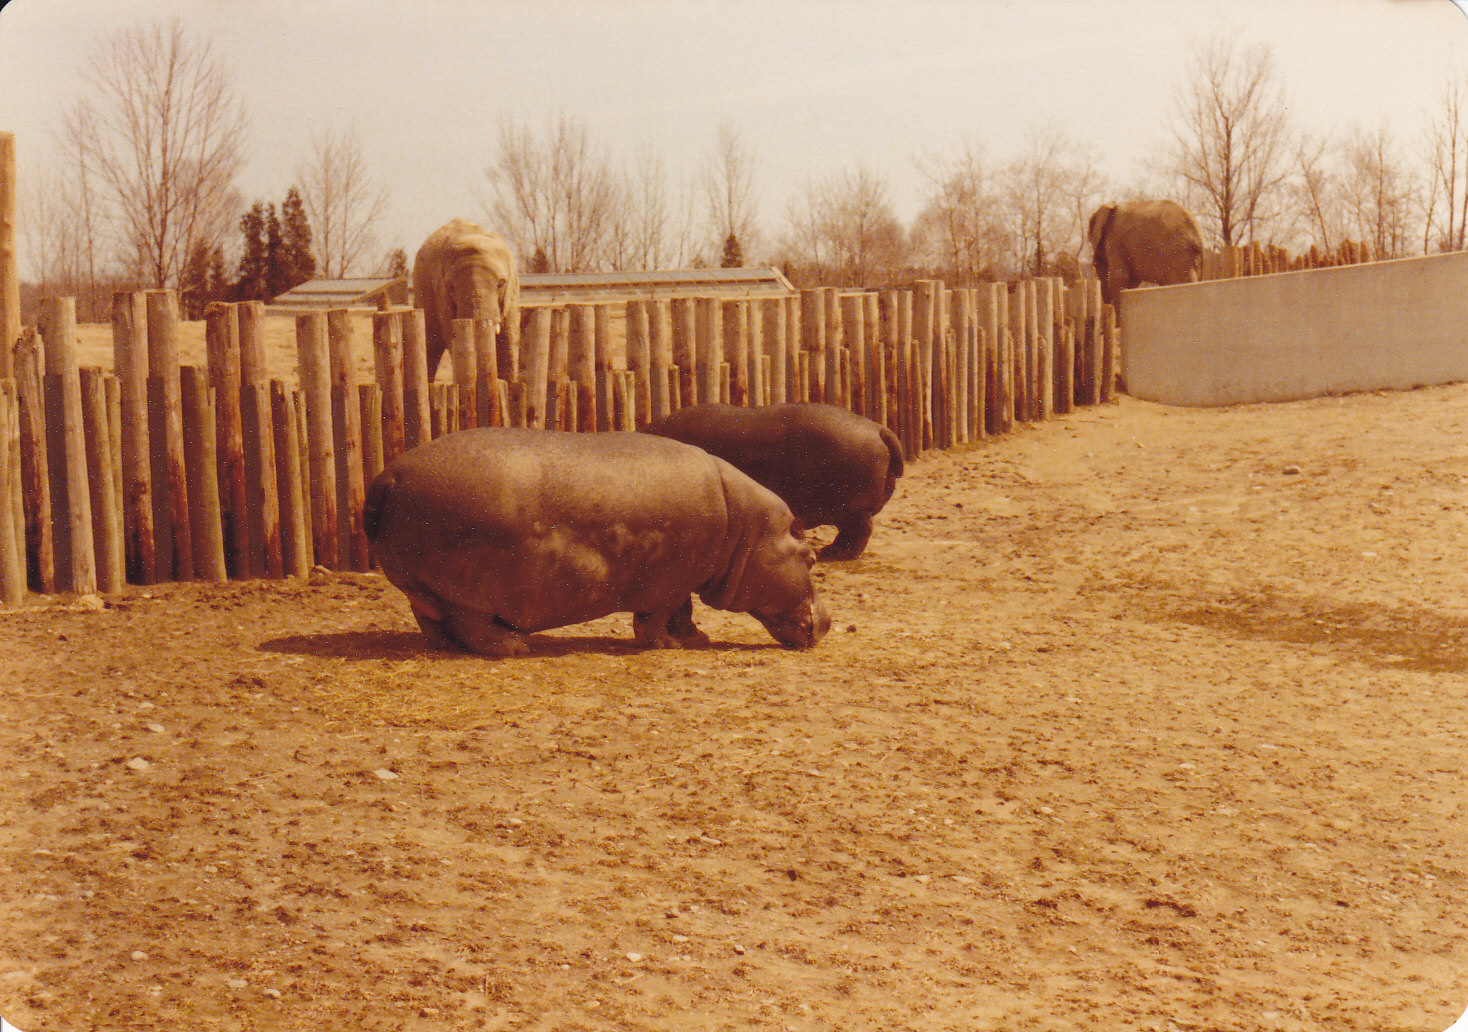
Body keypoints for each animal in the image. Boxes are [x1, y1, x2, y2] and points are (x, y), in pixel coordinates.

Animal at [364, 428, 830, 656]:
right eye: (810, 558)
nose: (827, 622)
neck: (748, 530)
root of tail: (391, 474)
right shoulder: (669, 581)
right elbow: (658, 617)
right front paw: (668, 645)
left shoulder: (684, 578)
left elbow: (683, 611)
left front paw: (696, 640)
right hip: (464, 588)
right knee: (473, 625)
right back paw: (515, 648)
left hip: (422, 585)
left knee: (430, 619)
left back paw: (448, 646)